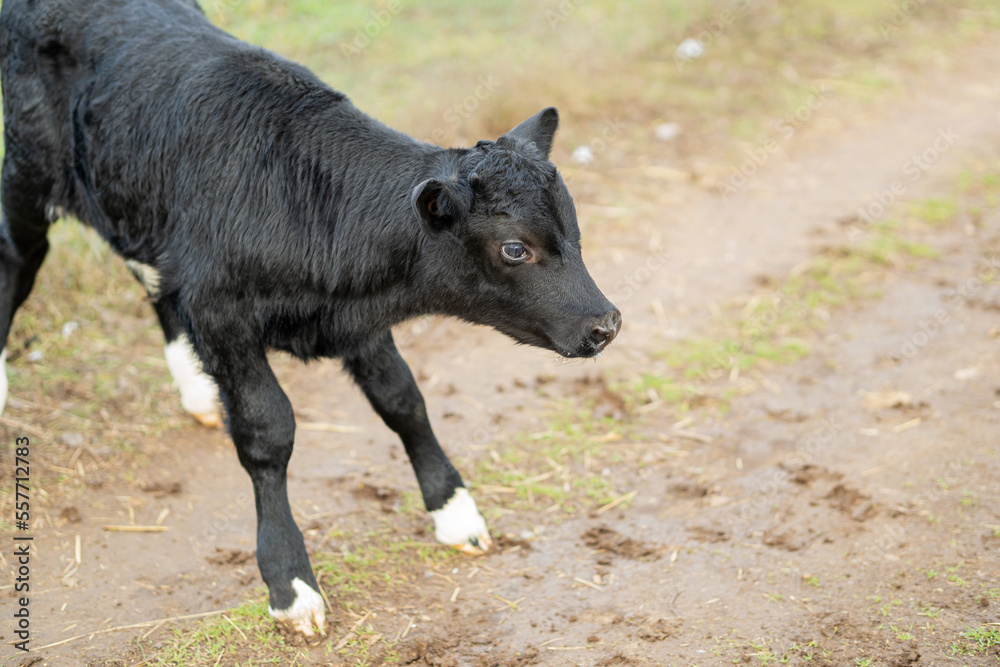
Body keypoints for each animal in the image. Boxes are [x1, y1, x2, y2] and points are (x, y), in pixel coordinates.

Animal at [0, 0, 621, 637]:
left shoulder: (355, 315)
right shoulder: (222, 313)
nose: (606, 324)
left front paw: (454, 511)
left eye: (574, 229)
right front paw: (290, 582)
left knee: (150, 277)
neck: (302, 200)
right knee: (17, 260)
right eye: (515, 248)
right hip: (27, 174)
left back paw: (196, 389)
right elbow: (268, 431)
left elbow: (402, 399)